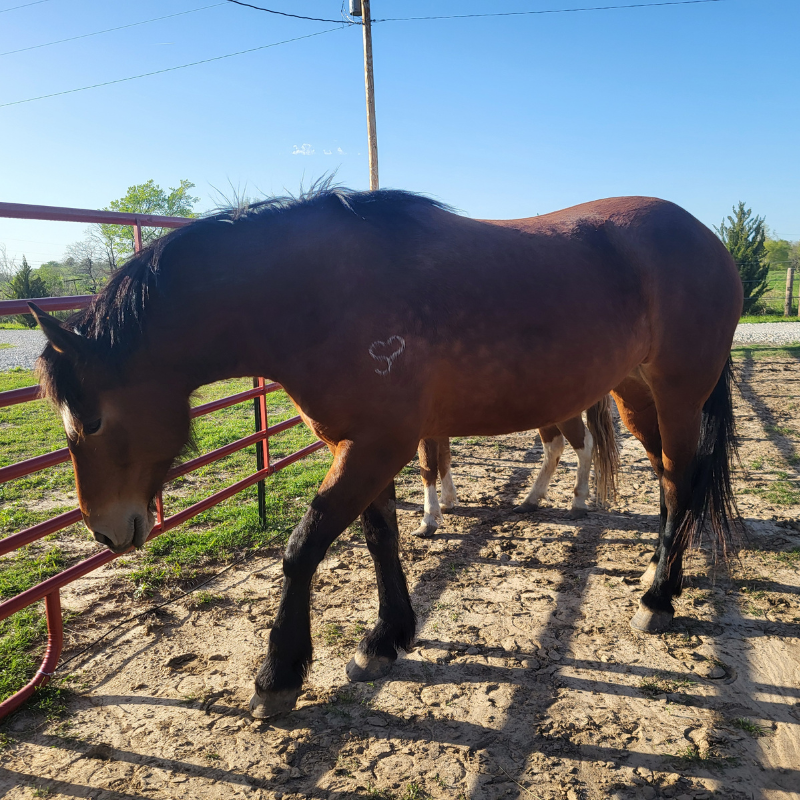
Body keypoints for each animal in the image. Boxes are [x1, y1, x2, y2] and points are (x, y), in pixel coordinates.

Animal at [413, 397, 620, 537]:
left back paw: (577, 503)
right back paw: (530, 501)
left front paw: (429, 520)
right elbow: (444, 459)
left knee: (584, 445)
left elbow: (428, 466)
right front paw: (447, 501)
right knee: (555, 447)